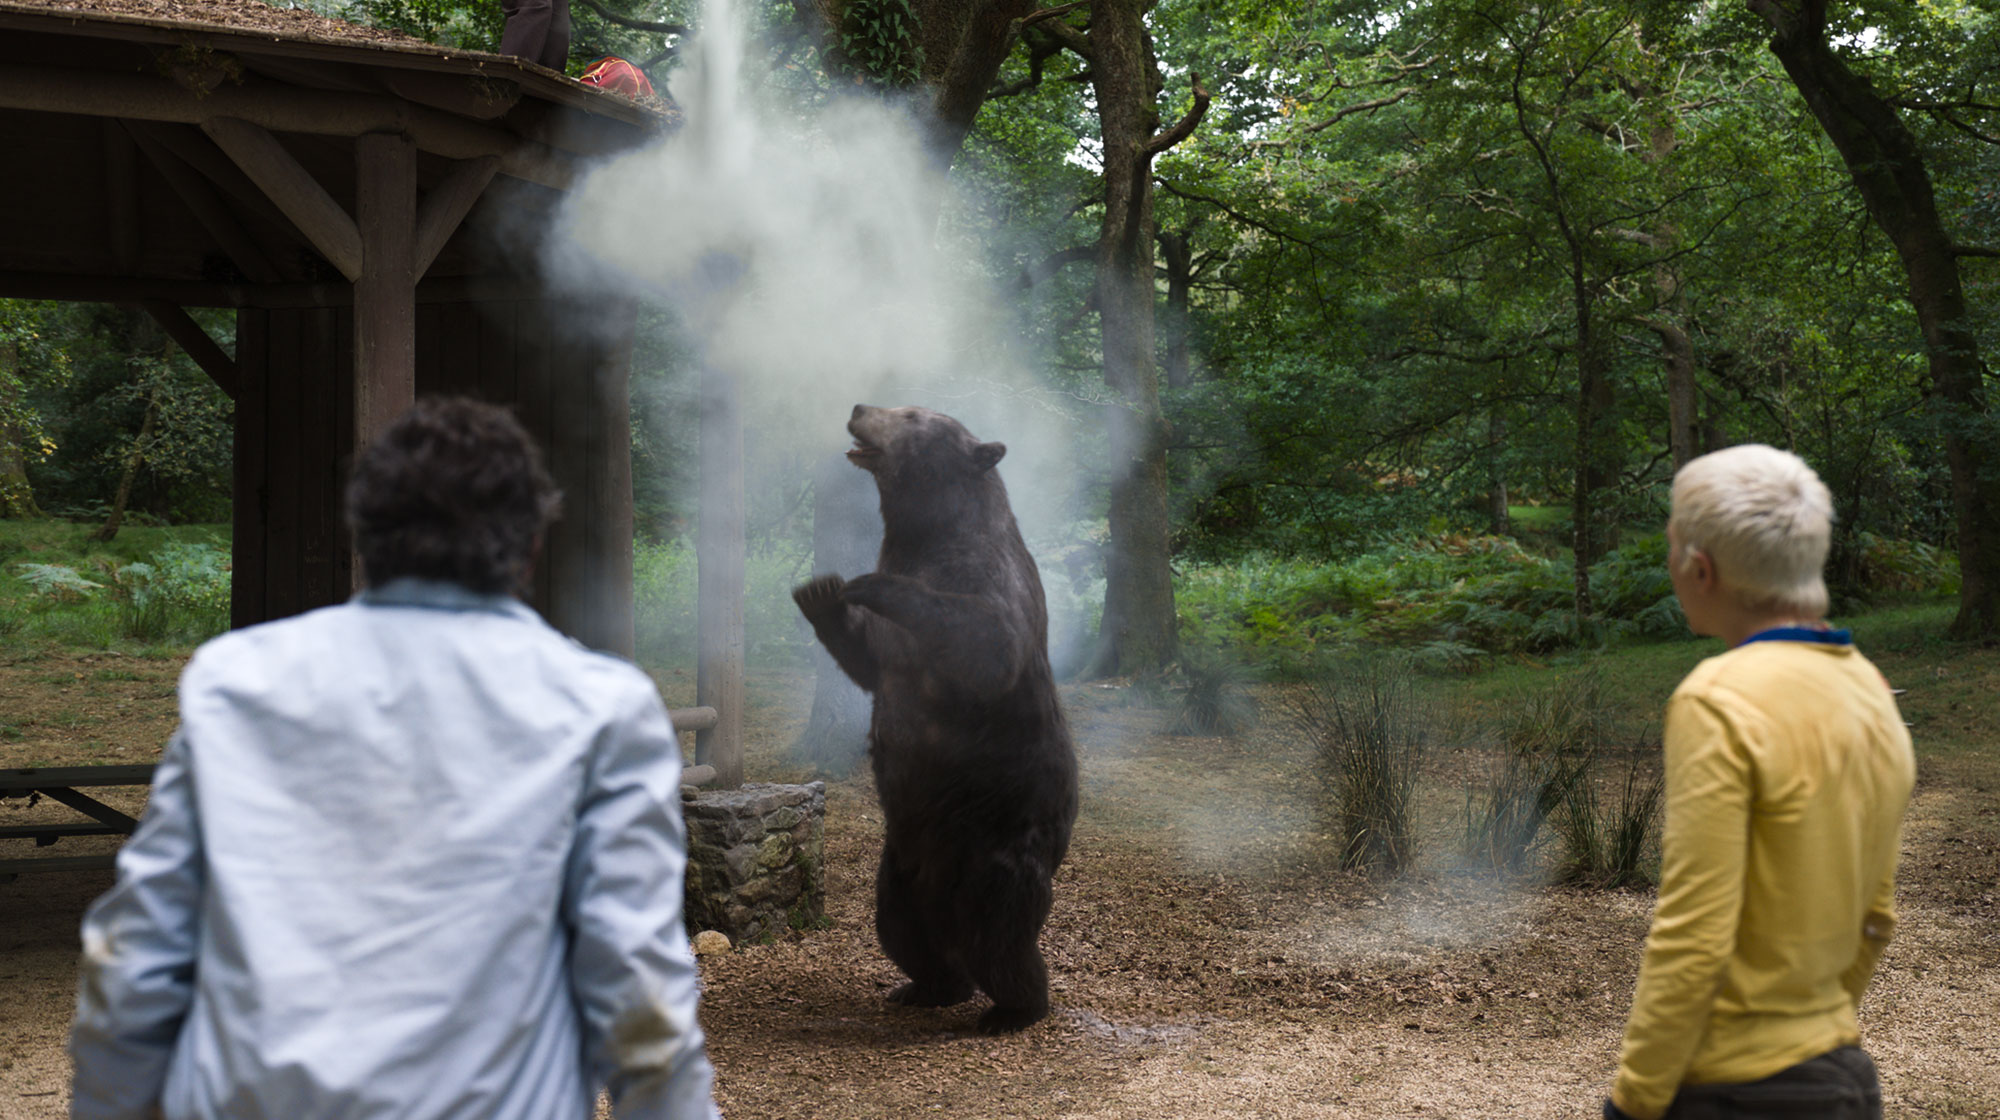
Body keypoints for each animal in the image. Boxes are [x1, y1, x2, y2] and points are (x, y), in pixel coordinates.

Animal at [792, 402, 1080, 1032]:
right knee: (900, 929)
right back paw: (924, 987)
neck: (926, 533)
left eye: (911, 414)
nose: (858, 408)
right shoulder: (889, 648)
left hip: (995, 848)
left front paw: (865, 583)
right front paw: (820, 591)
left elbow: (986, 642)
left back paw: (1013, 1009)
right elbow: (868, 662)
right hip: (898, 863)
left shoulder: (988, 580)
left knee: (1001, 936)